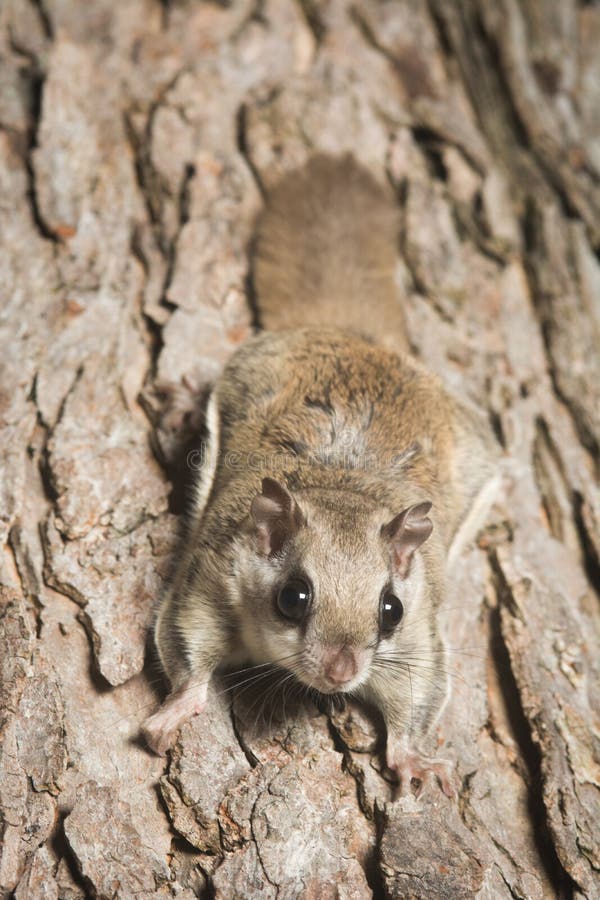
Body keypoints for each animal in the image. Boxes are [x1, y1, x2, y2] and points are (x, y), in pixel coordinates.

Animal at [142, 155, 500, 797]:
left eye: (391, 609)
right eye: (294, 597)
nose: (341, 671)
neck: (343, 490)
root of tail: (354, 336)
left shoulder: (421, 637)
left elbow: (416, 696)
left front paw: (413, 759)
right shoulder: (208, 580)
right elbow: (186, 647)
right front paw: (176, 710)